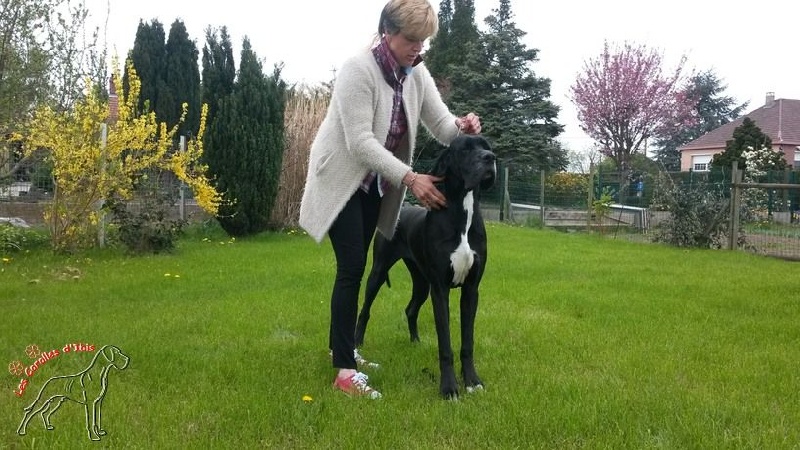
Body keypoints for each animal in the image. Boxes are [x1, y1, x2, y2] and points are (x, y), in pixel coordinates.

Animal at [355, 134, 497, 399]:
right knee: (365, 309)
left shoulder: (471, 289)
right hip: (379, 271)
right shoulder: (440, 289)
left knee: (411, 309)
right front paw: (449, 388)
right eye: (465, 149)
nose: (490, 158)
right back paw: (357, 344)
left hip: (421, 283)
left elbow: (467, 341)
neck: (463, 211)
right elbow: (446, 344)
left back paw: (416, 342)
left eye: (487, 146)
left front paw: (472, 381)